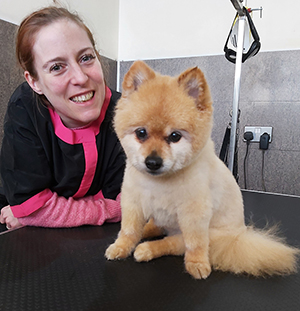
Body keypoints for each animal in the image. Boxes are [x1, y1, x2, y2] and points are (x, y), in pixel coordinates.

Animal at [105, 61, 298, 280]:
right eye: (141, 133)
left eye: (175, 136)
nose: (153, 162)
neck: (159, 182)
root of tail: (239, 235)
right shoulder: (133, 202)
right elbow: (128, 230)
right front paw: (121, 246)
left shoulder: (194, 214)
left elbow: (194, 243)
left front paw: (197, 263)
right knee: (154, 227)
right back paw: (145, 232)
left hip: (212, 235)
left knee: (174, 243)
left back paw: (147, 249)